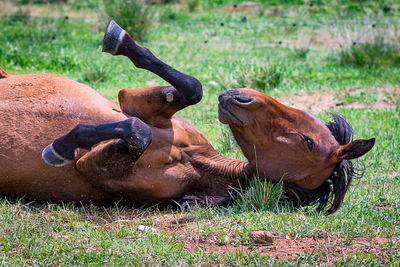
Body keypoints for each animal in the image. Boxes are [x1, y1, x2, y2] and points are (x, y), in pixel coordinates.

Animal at [0, 20, 376, 214]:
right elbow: (191, 88)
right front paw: (120, 40)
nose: (240, 96)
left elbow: (137, 131)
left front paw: (59, 147)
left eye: (309, 143)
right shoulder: (133, 102)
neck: (195, 162)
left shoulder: (93, 165)